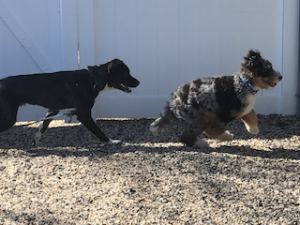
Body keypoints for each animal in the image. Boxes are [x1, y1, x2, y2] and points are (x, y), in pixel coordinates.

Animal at [0, 59, 139, 145]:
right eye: (125, 74)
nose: (138, 82)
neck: (92, 80)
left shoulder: (52, 110)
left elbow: (42, 126)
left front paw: (36, 141)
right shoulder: (84, 115)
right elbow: (99, 132)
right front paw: (111, 141)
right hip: (9, 119)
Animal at [150, 50, 284, 148]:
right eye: (267, 69)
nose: (280, 77)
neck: (245, 83)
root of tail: (173, 102)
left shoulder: (244, 109)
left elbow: (252, 117)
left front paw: (254, 129)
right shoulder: (222, 115)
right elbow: (215, 130)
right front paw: (226, 137)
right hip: (198, 117)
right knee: (186, 135)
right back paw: (200, 143)